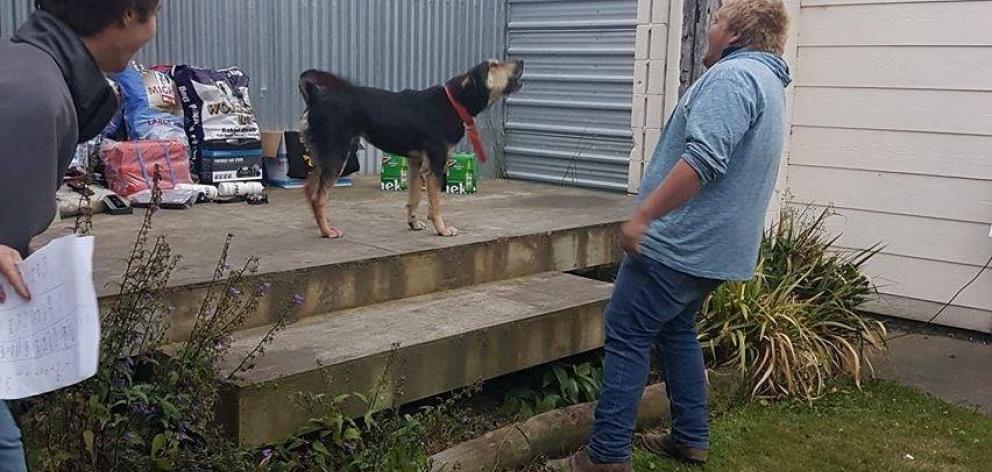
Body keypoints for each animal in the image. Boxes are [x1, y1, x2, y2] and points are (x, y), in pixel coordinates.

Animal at [296, 59, 524, 238]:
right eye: (493, 65)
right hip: (337, 154)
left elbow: (414, 198)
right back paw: (327, 231)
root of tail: (316, 96)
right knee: (319, 197)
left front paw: (413, 223)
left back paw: (319, 225)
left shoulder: (416, 163)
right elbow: (435, 204)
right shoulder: (435, 164)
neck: (455, 100)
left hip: (326, 155)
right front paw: (442, 229)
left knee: (310, 190)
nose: (521, 61)